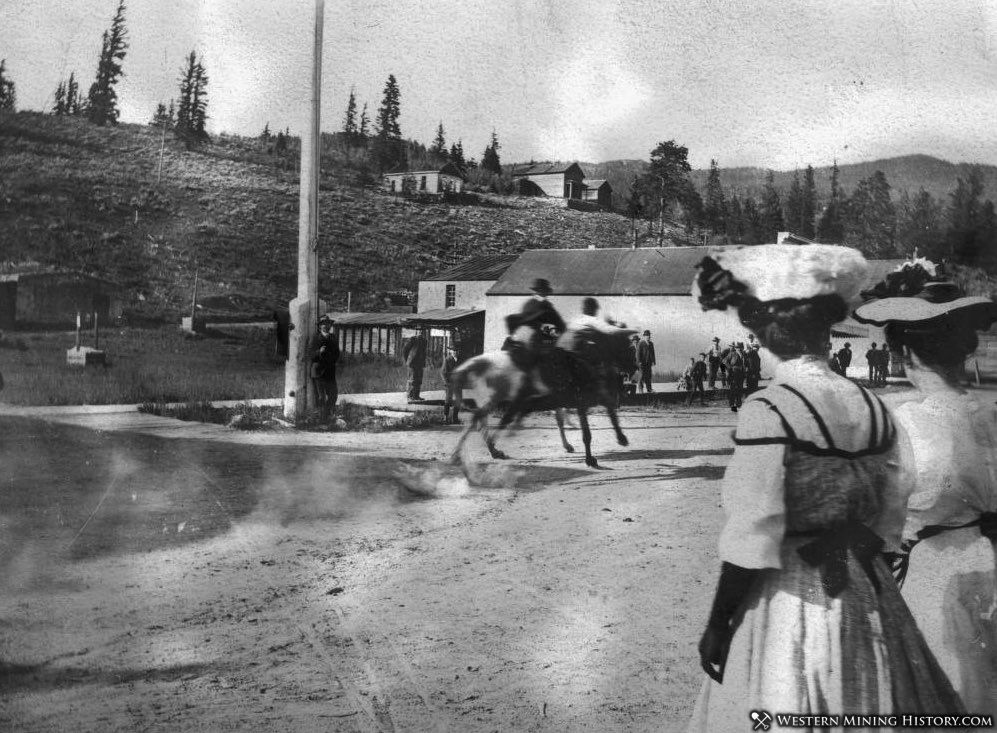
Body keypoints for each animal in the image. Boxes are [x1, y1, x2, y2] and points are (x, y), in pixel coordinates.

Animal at [448, 328, 636, 468]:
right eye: (631, 348)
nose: (633, 370)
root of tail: (479, 363)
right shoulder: (580, 401)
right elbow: (586, 431)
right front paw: (591, 458)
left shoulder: (574, 399)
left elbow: (600, 413)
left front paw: (620, 438)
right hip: (494, 398)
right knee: (478, 420)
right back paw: (471, 452)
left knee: (480, 421)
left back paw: (489, 451)